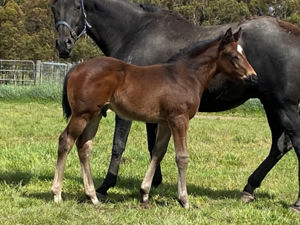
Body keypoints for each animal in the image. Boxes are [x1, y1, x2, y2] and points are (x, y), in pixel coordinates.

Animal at [51, 27, 255, 207]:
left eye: (244, 53)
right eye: (233, 56)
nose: (253, 76)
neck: (186, 76)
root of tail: (75, 69)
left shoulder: (165, 122)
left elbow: (158, 152)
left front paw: (144, 193)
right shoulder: (179, 119)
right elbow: (182, 157)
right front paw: (184, 200)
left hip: (95, 115)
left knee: (84, 146)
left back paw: (92, 197)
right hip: (82, 114)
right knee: (65, 141)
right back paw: (57, 194)